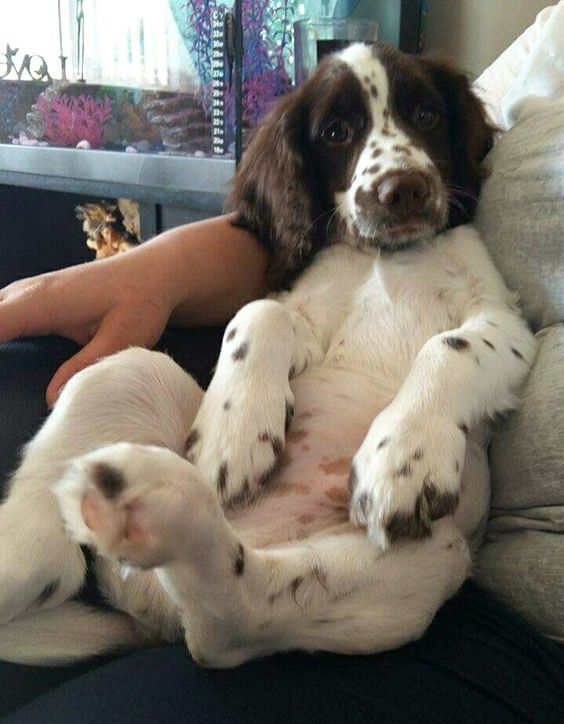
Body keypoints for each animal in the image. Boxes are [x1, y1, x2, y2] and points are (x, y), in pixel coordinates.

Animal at [0, 43, 536, 668]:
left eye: (426, 115)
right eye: (335, 132)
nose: (402, 189)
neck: (387, 256)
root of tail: (152, 611)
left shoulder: (502, 319)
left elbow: (449, 346)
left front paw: (405, 456)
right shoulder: (303, 313)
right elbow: (257, 314)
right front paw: (234, 434)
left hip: (433, 555)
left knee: (235, 620)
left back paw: (148, 511)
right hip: (125, 369)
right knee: (56, 563)